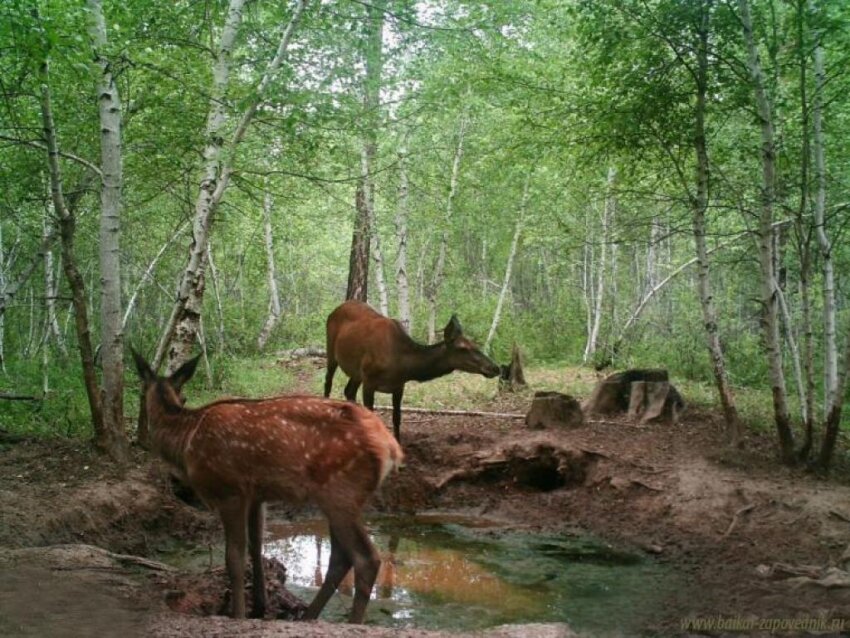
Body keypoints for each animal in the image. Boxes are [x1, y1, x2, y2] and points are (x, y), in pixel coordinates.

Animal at [130, 350, 400, 624]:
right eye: (183, 394)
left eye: (141, 393)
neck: (186, 439)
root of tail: (390, 447)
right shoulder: (255, 495)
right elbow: (256, 545)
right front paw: (259, 608)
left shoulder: (229, 490)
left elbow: (234, 557)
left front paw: (238, 615)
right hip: (339, 498)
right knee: (341, 558)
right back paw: (308, 616)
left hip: (341, 492)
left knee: (366, 558)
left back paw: (351, 621)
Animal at [322, 302, 496, 442]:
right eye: (463, 348)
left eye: (475, 344)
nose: (495, 367)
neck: (402, 365)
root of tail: (336, 309)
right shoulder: (370, 381)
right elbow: (372, 415)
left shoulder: (399, 385)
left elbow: (397, 418)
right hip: (332, 352)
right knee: (328, 383)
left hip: (357, 372)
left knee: (349, 390)